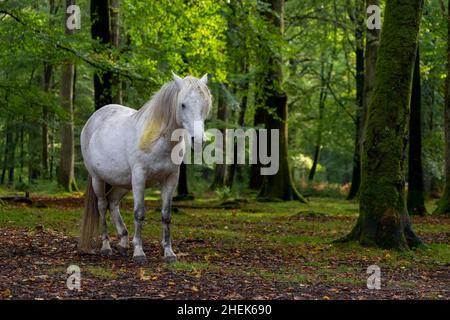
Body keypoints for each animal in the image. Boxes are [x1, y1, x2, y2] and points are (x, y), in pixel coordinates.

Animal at [79, 72, 213, 262]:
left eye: (205, 104)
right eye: (183, 104)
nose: (199, 140)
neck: (157, 139)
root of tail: (92, 121)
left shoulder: (170, 179)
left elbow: (166, 215)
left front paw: (169, 253)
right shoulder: (139, 177)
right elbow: (139, 213)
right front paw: (139, 252)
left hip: (123, 183)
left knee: (113, 202)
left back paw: (123, 242)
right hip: (99, 179)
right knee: (103, 206)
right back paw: (106, 247)